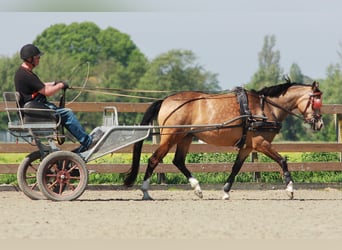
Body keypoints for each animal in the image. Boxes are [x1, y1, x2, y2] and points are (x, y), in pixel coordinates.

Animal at [123, 81, 324, 200]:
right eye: (316, 101)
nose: (320, 123)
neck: (265, 108)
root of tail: (165, 100)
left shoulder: (247, 146)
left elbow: (236, 167)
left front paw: (226, 191)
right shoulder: (260, 143)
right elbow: (282, 160)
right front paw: (290, 188)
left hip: (186, 137)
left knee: (178, 161)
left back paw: (197, 188)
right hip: (171, 136)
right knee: (154, 159)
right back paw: (146, 191)